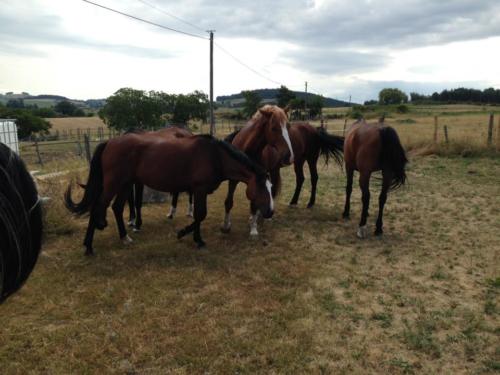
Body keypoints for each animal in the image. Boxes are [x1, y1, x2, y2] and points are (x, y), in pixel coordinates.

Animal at [64, 133, 274, 256]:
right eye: (262, 187)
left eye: (271, 188)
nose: (270, 212)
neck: (215, 156)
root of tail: (109, 142)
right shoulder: (199, 189)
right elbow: (200, 215)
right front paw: (195, 239)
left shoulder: (199, 191)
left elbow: (198, 216)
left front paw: (187, 234)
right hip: (113, 184)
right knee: (98, 207)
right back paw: (89, 246)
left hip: (125, 184)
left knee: (116, 208)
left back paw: (125, 238)